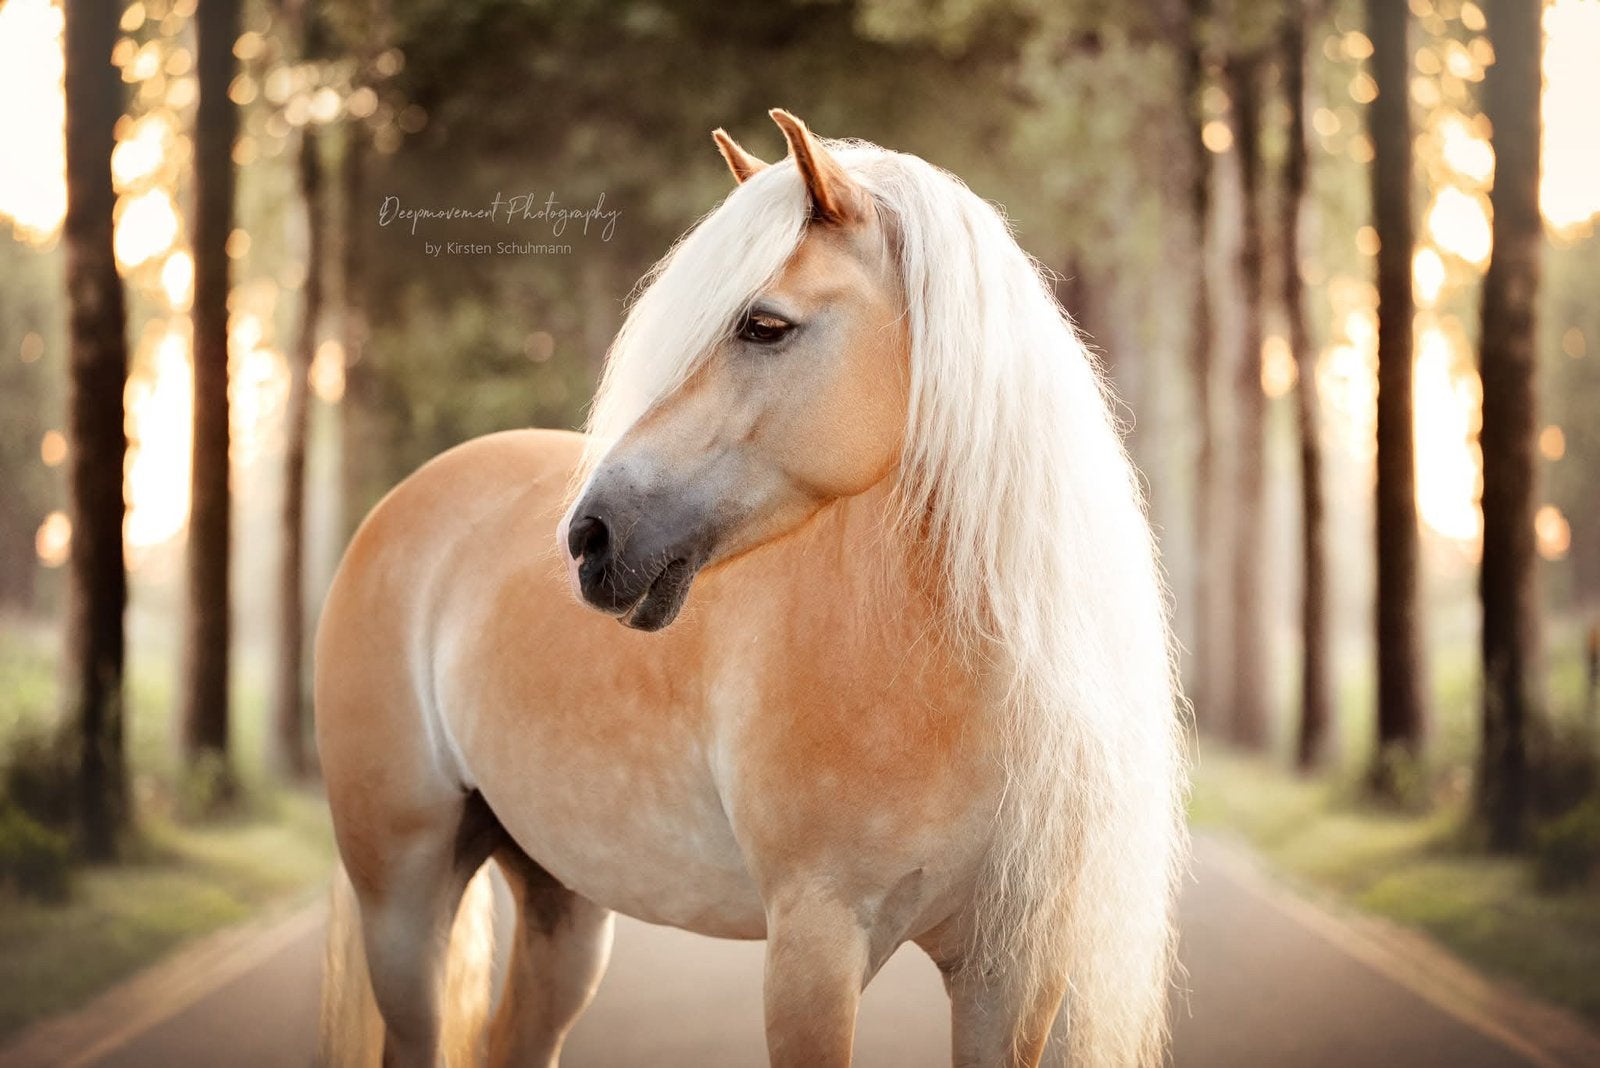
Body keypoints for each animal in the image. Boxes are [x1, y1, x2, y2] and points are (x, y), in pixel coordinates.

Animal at [315, 109, 1188, 1068]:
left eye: (764, 325)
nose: (589, 537)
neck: (945, 690)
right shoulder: (814, 948)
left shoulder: (1012, 974)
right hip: (404, 895)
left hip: (558, 901)